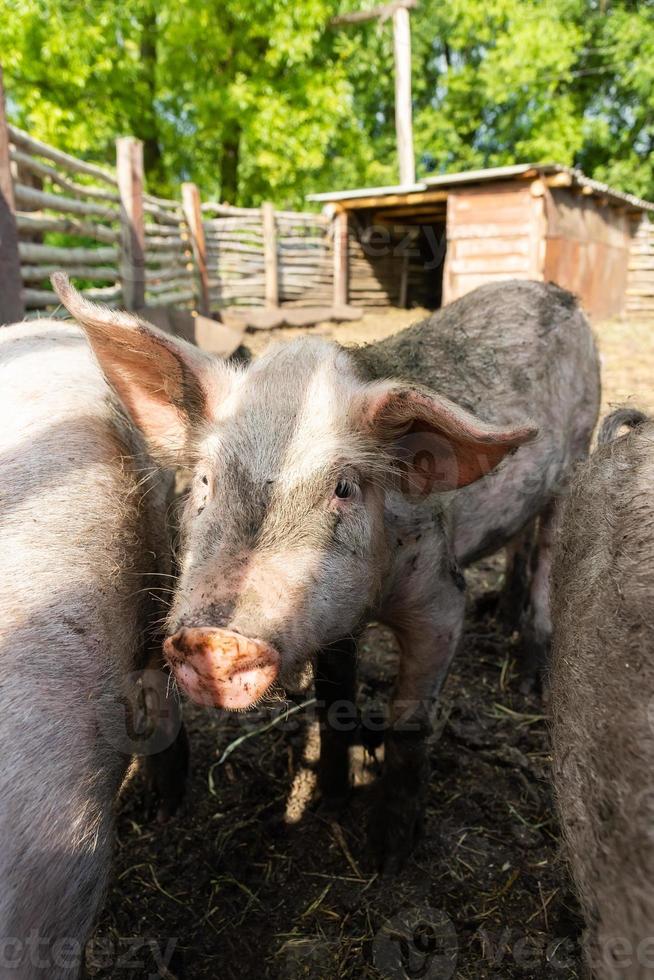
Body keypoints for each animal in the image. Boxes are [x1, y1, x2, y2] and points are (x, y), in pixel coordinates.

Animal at [53, 272, 604, 868]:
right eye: (203, 480)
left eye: (343, 488)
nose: (211, 639)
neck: (371, 607)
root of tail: (559, 293)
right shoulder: (333, 623)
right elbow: (333, 698)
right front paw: (332, 800)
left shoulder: (439, 597)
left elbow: (410, 721)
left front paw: (389, 856)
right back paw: (499, 617)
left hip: (578, 452)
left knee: (548, 551)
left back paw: (528, 680)